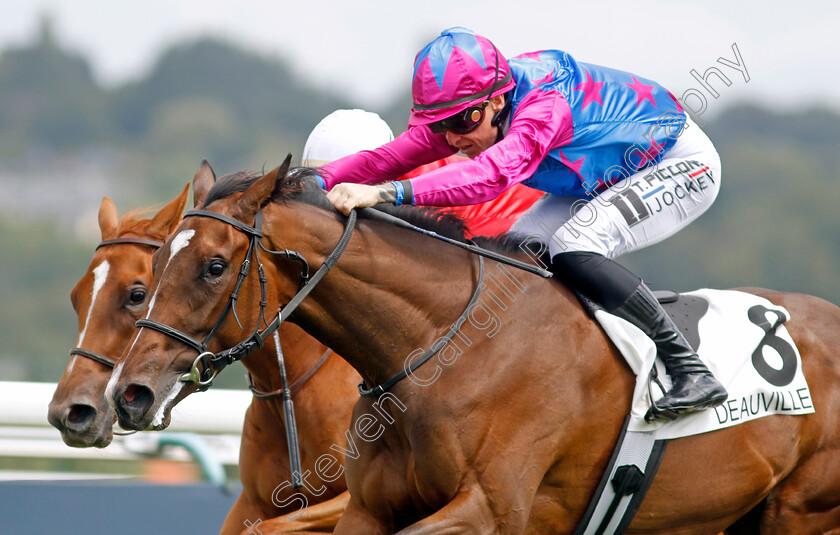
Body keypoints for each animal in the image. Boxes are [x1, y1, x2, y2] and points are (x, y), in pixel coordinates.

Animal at [108, 161, 840, 532]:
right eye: (152, 273)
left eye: (213, 266)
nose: (129, 393)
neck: (435, 349)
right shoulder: (368, 510)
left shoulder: (490, 510)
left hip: (801, 512)